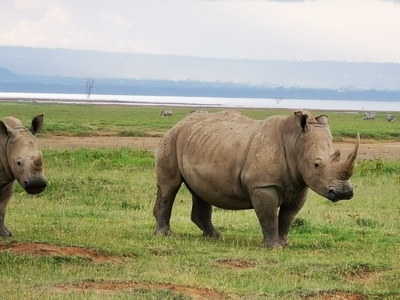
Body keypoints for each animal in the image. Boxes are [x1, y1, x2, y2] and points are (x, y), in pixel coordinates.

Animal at [153, 110, 360, 248]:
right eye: (316, 164)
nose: (344, 192)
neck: (295, 141)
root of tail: (180, 122)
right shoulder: (263, 185)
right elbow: (268, 215)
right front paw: (274, 247)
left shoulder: (301, 184)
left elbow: (288, 217)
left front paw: (285, 243)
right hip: (171, 140)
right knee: (169, 186)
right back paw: (166, 235)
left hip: (200, 143)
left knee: (200, 191)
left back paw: (215, 236)